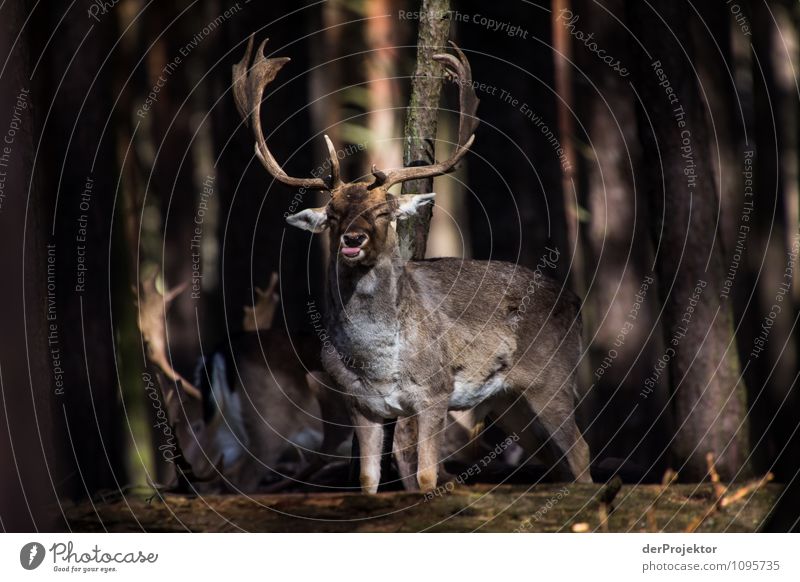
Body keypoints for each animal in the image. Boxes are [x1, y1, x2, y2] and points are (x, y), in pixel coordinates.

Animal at [233, 35, 592, 492]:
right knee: (555, 458)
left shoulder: (435, 392)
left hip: (553, 377)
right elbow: (367, 480)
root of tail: (576, 300)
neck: (378, 363)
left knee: (581, 452)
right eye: (332, 213)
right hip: (509, 399)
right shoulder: (360, 404)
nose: (353, 239)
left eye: (384, 211)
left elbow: (425, 475)